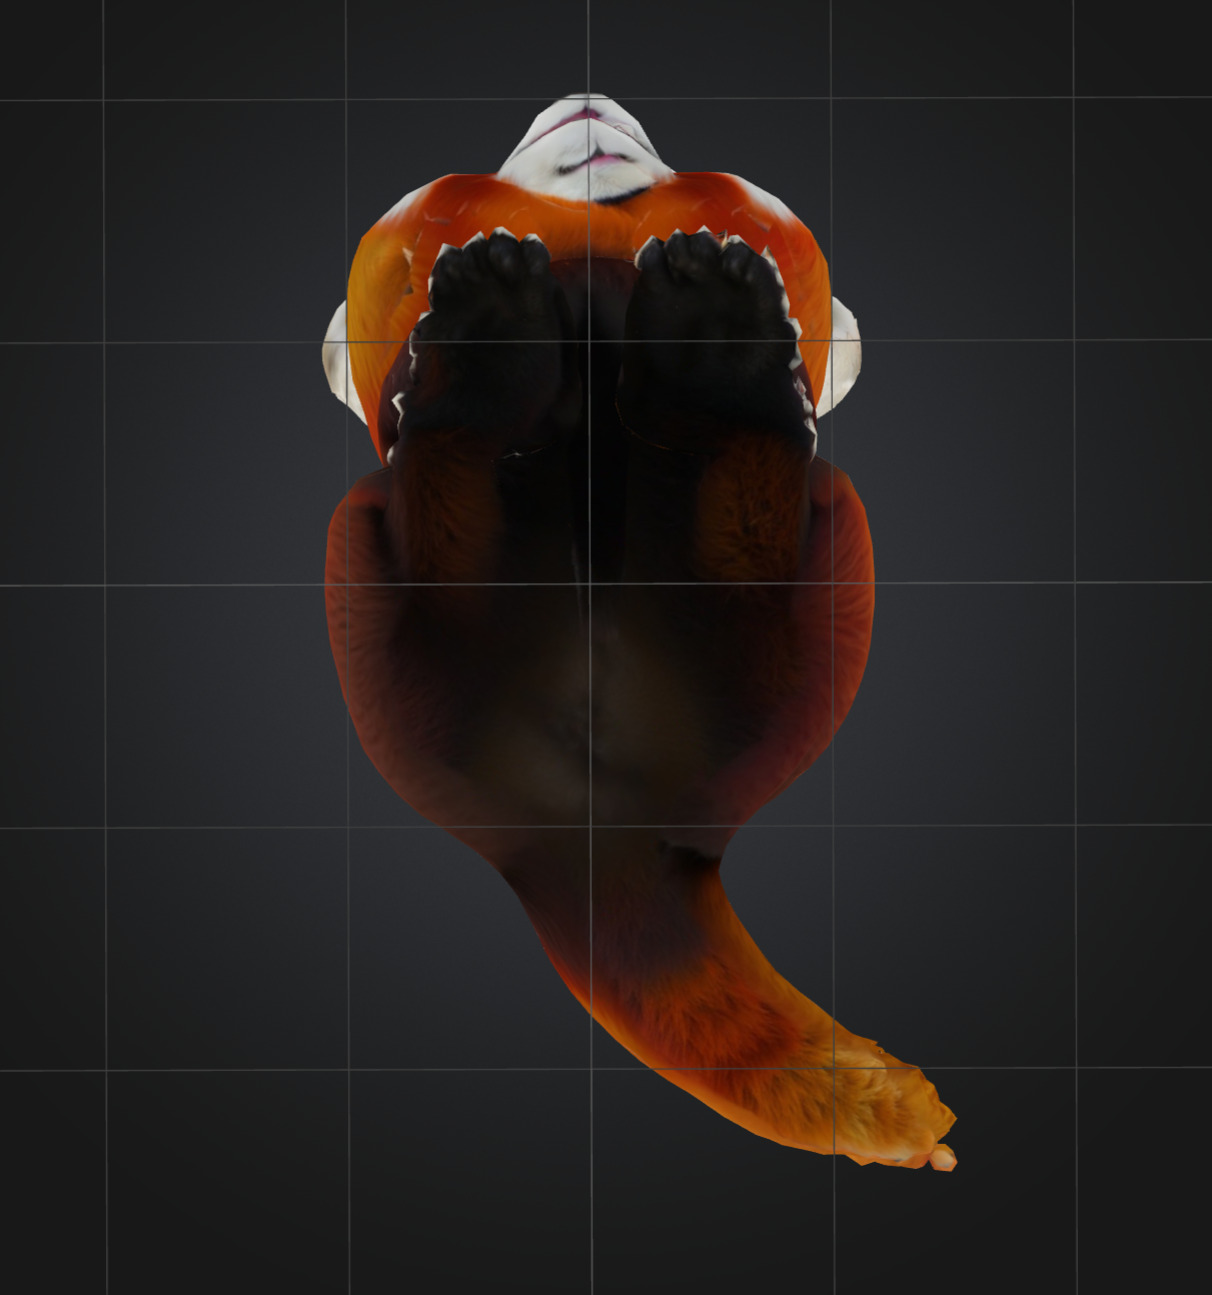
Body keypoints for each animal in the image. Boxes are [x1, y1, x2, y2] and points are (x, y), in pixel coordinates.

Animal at [322, 94, 955, 1171]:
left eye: (647, 143)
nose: (585, 101)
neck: (594, 218)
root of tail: (593, 827)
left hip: (805, 626)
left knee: (741, 519)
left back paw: (717, 359)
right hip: (386, 641)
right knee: (447, 522)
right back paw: (494, 356)